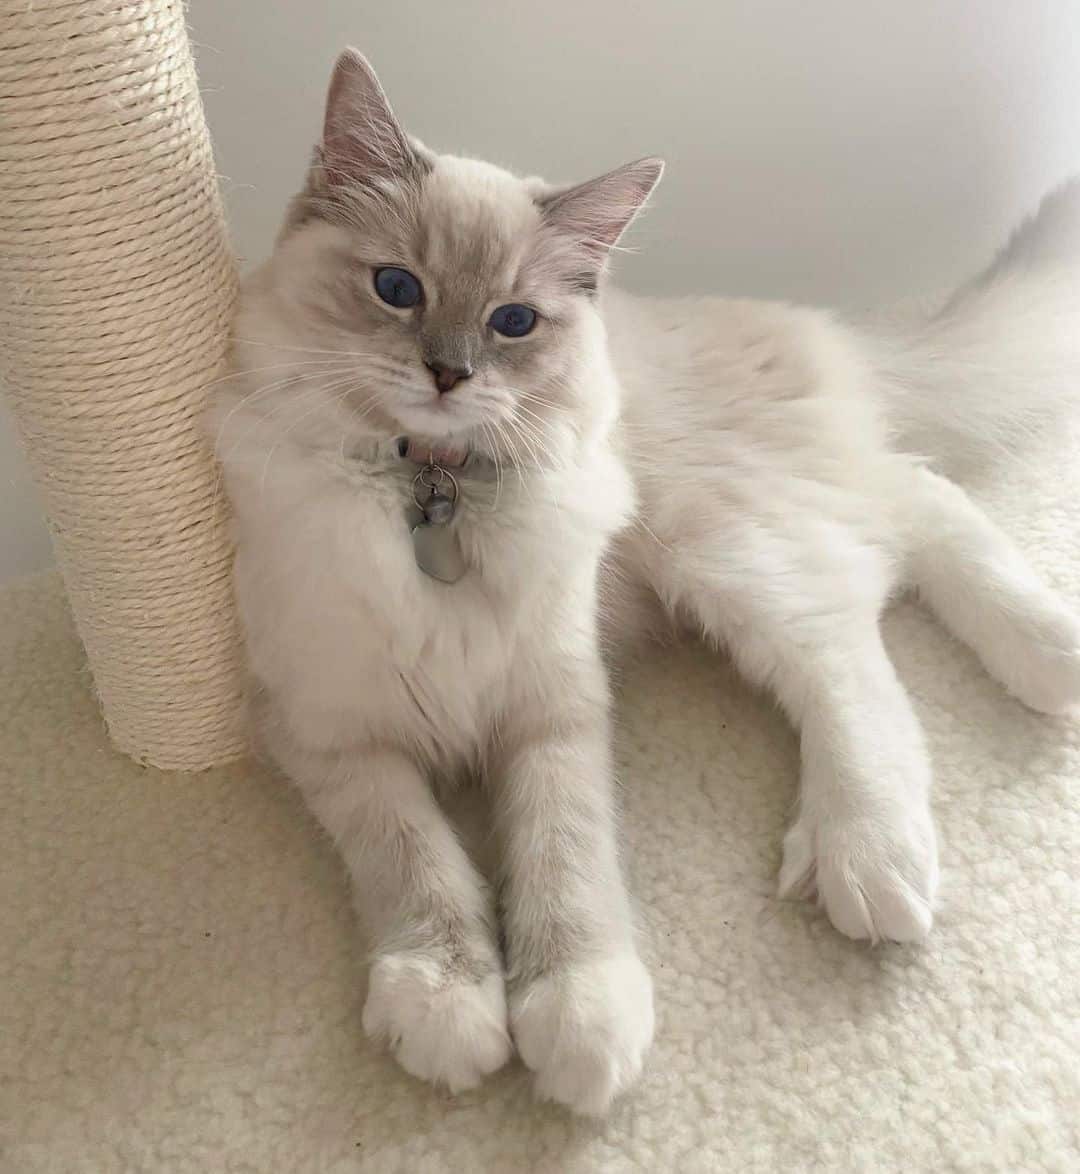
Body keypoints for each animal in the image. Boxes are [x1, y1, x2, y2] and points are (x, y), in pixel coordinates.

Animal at [211, 50, 1080, 1112]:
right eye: (395, 287)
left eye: (512, 322)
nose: (449, 374)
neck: (434, 490)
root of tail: (826, 331)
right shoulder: (339, 735)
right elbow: (416, 860)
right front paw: (452, 1004)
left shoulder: (554, 712)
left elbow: (563, 856)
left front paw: (580, 1020)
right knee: (916, 506)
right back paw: (1052, 657)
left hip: (724, 550)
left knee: (853, 658)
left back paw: (872, 854)